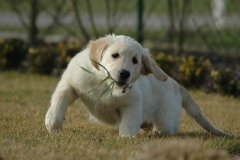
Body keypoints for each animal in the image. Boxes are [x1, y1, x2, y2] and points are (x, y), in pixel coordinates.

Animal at [45, 34, 229, 137]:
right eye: (115, 55)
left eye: (135, 60)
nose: (125, 73)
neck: (105, 83)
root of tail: (176, 84)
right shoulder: (71, 81)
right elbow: (60, 97)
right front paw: (53, 121)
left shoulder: (132, 103)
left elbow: (130, 120)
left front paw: (127, 136)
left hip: (166, 119)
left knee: (165, 128)